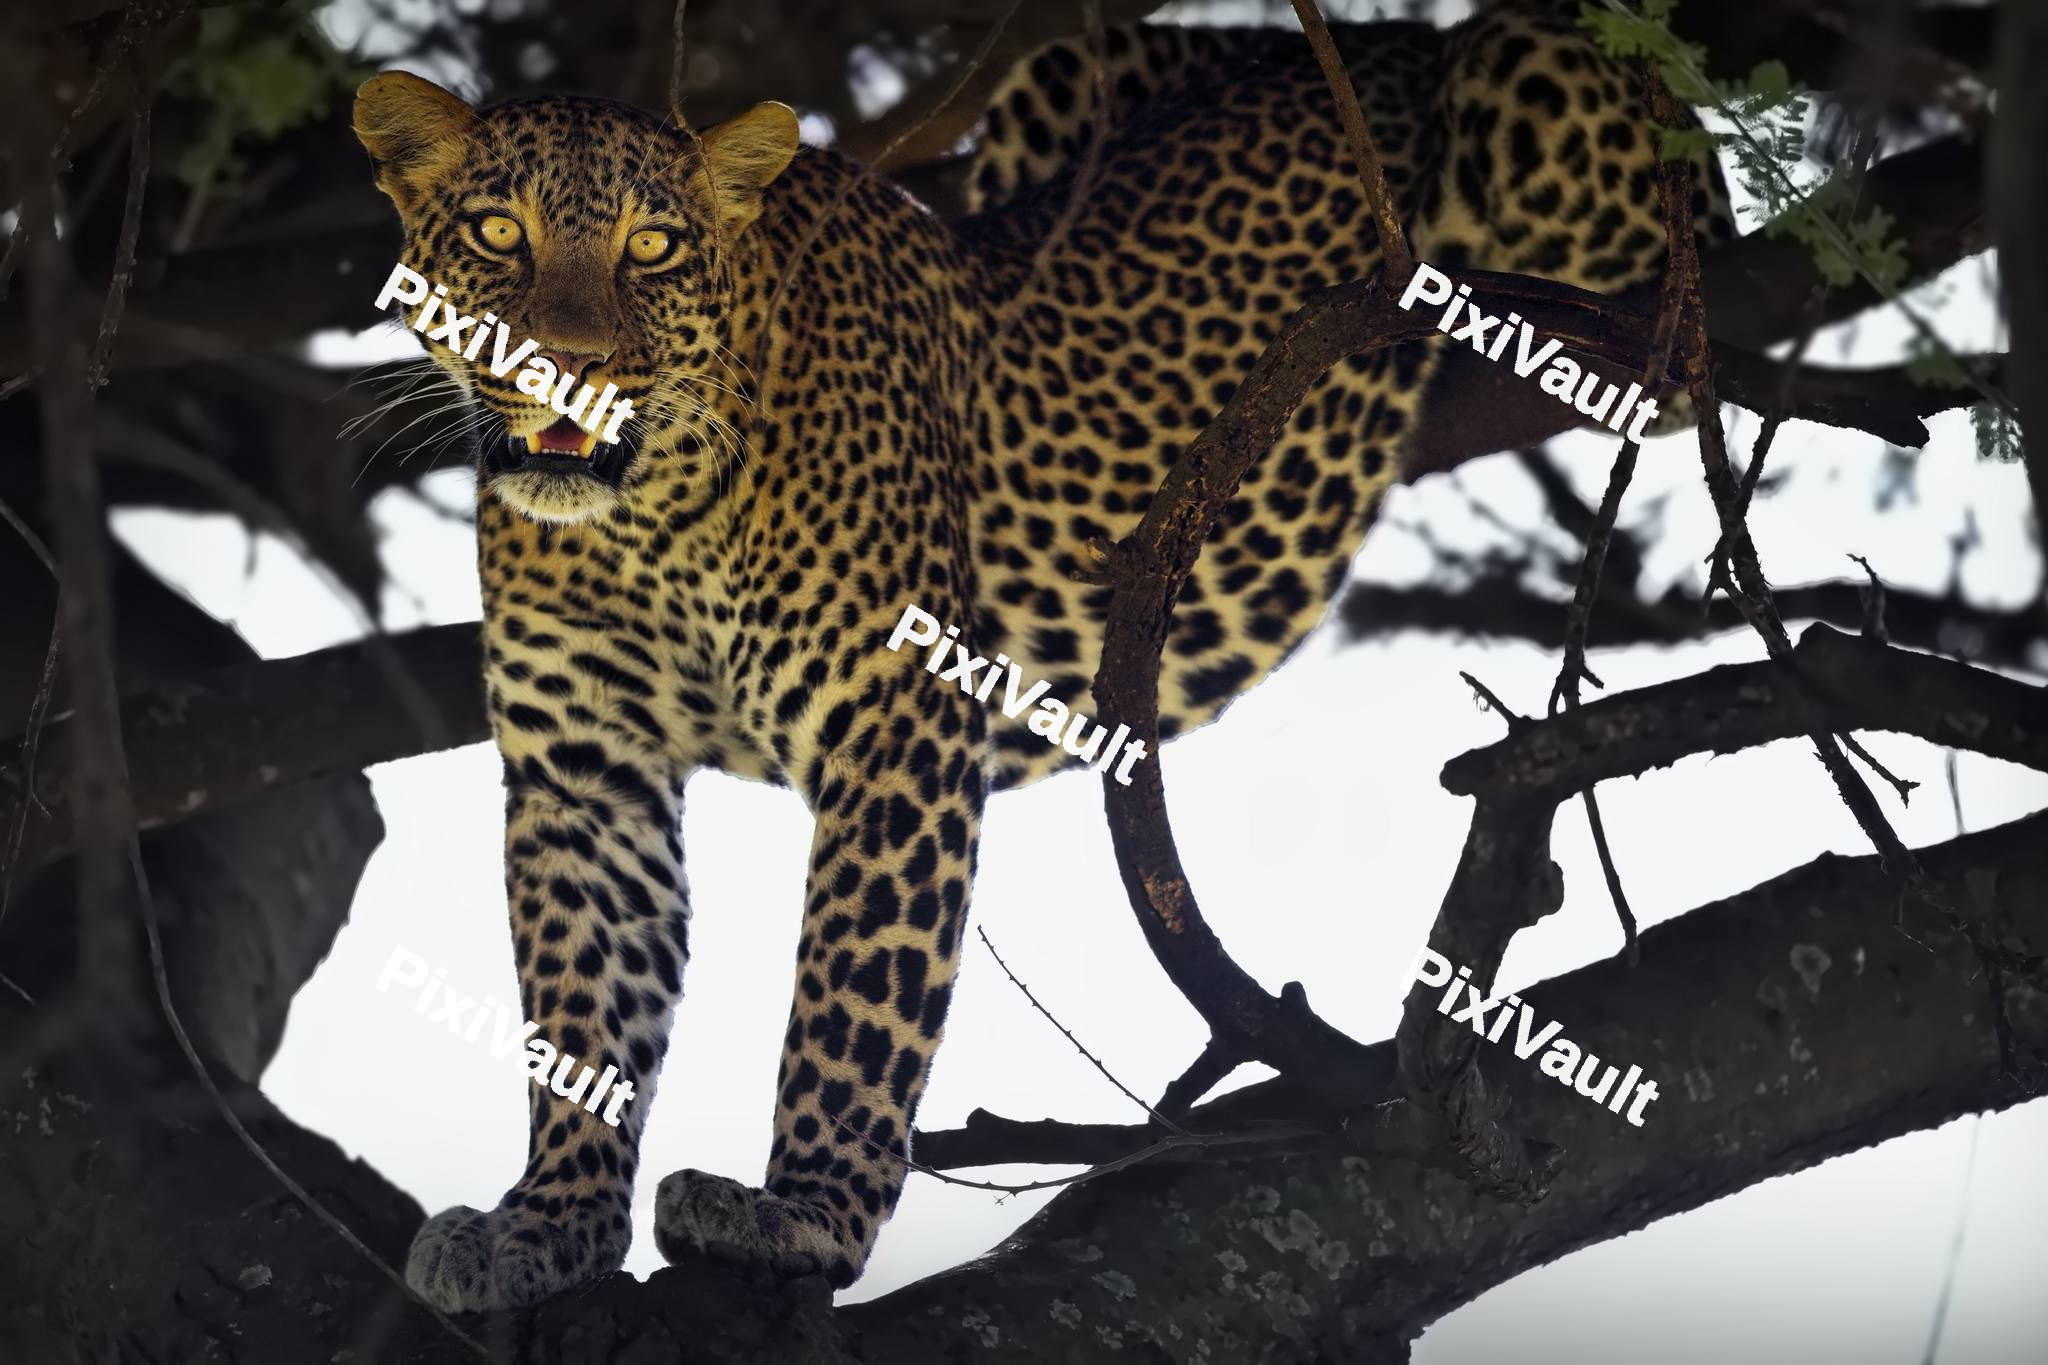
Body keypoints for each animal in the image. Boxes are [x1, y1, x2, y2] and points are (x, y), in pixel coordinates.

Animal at [351, 1, 1732, 1314]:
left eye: (654, 247)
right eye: (498, 234)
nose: (569, 360)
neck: (646, 517)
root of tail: (1361, 34)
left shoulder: (894, 716)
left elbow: (855, 995)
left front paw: (804, 1216)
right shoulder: (583, 771)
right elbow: (581, 1010)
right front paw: (551, 1228)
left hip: (1532, 81)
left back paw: (1655, 326)